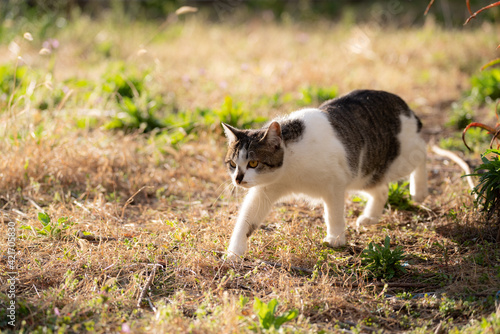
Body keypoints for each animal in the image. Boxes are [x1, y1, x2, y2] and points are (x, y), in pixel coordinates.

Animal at [223, 90, 430, 260]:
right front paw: (234, 252)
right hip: (365, 174)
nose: (238, 179)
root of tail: (403, 104)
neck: (289, 166)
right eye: (232, 164)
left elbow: (334, 213)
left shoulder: (334, 184)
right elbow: (246, 220)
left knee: (423, 152)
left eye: (253, 163)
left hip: (401, 159)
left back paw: (419, 191)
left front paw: (335, 238)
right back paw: (371, 217)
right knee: (381, 189)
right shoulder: (265, 190)